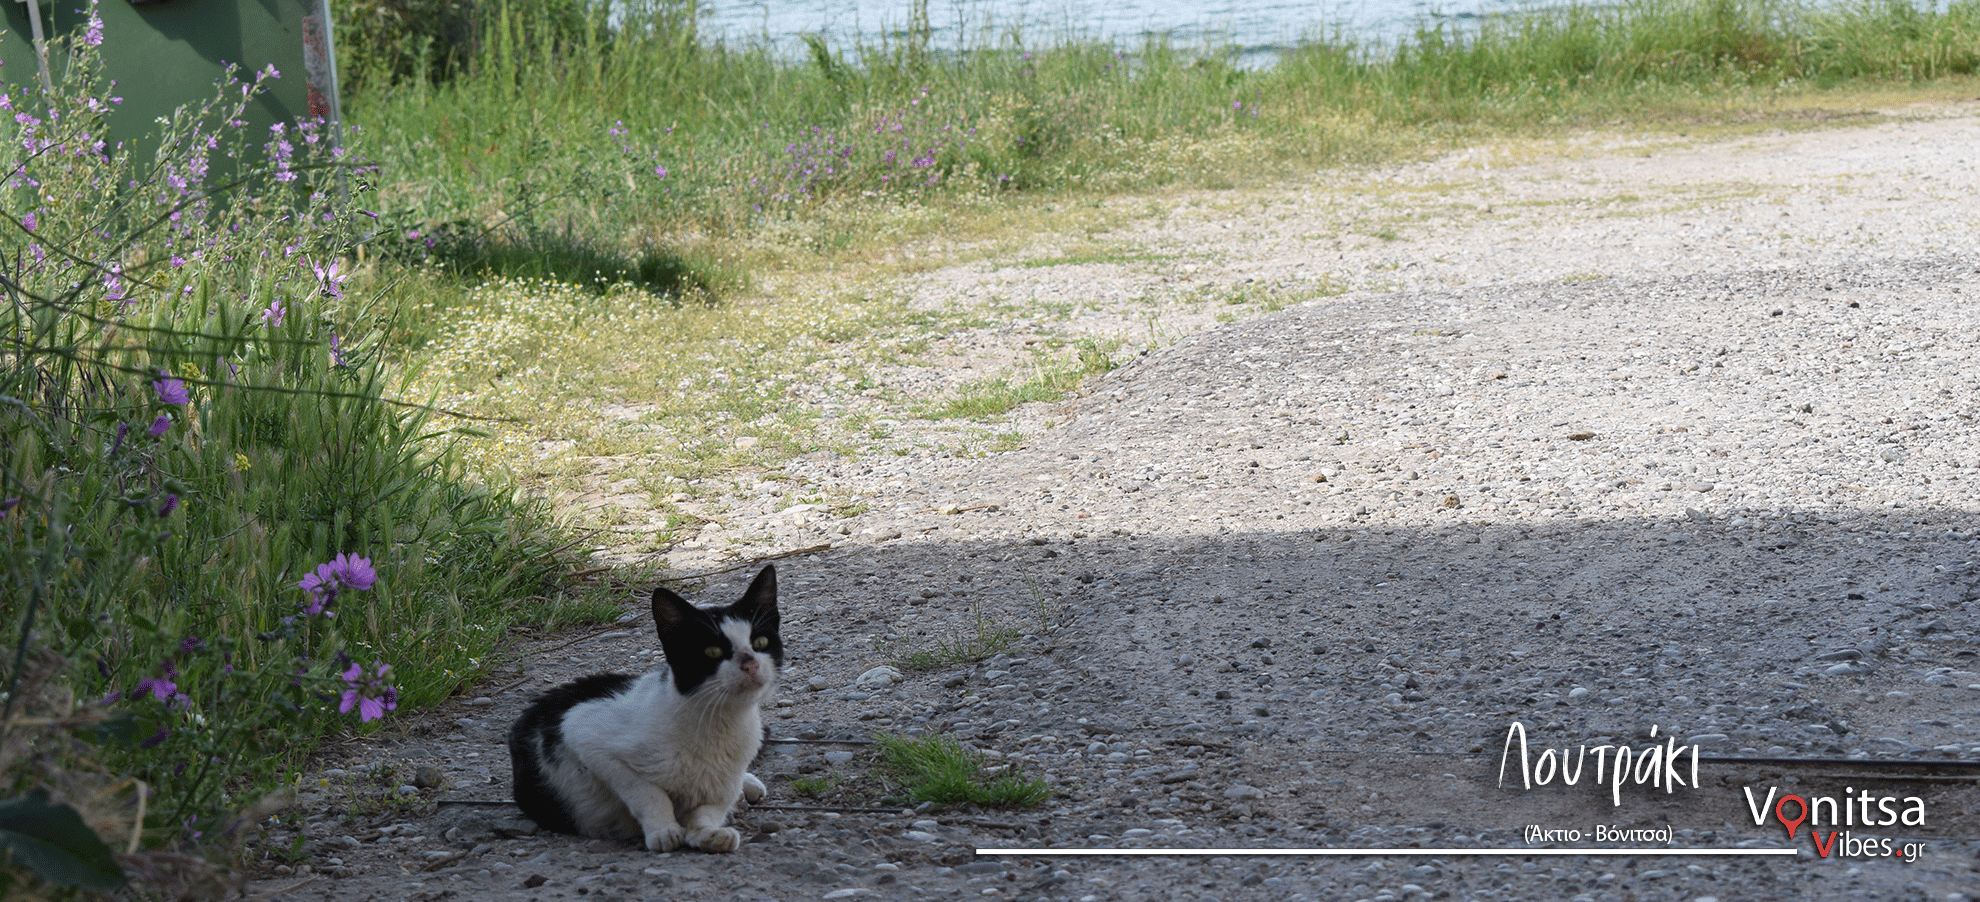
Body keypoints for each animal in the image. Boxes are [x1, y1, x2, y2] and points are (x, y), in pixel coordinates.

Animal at [502, 561, 780, 854]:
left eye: (760, 643)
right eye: (712, 651)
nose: (750, 663)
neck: (718, 724)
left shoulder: (726, 780)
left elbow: (710, 808)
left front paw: (706, 831)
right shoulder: (583, 734)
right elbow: (646, 791)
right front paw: (664, 830)